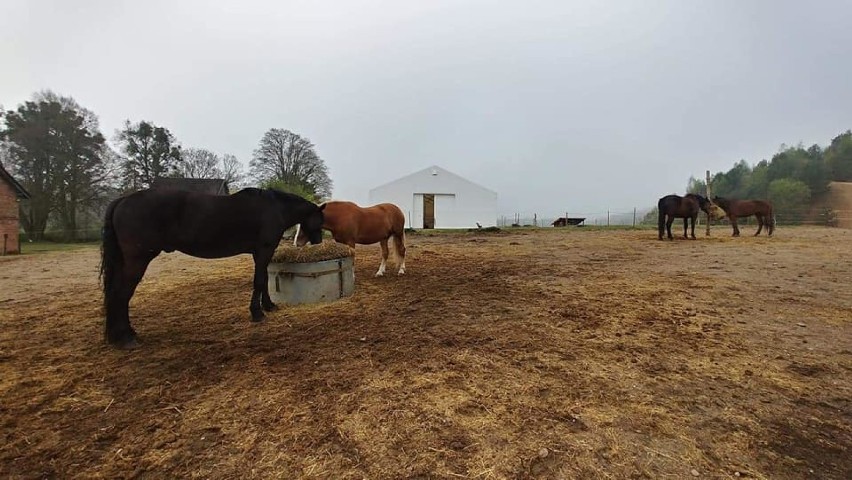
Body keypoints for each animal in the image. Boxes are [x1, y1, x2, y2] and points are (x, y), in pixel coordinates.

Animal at [100, 188, 326, 348]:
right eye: (321, 220)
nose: (318, 241)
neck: (274, 207)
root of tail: (122, 200)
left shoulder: (260, 254)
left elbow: (264, 280)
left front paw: (269, 306)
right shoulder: (264, 250)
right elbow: (260, 281)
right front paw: (257, 313)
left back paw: (120, 335)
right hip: (137, 261)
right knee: (121, 294)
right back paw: (126, 338)